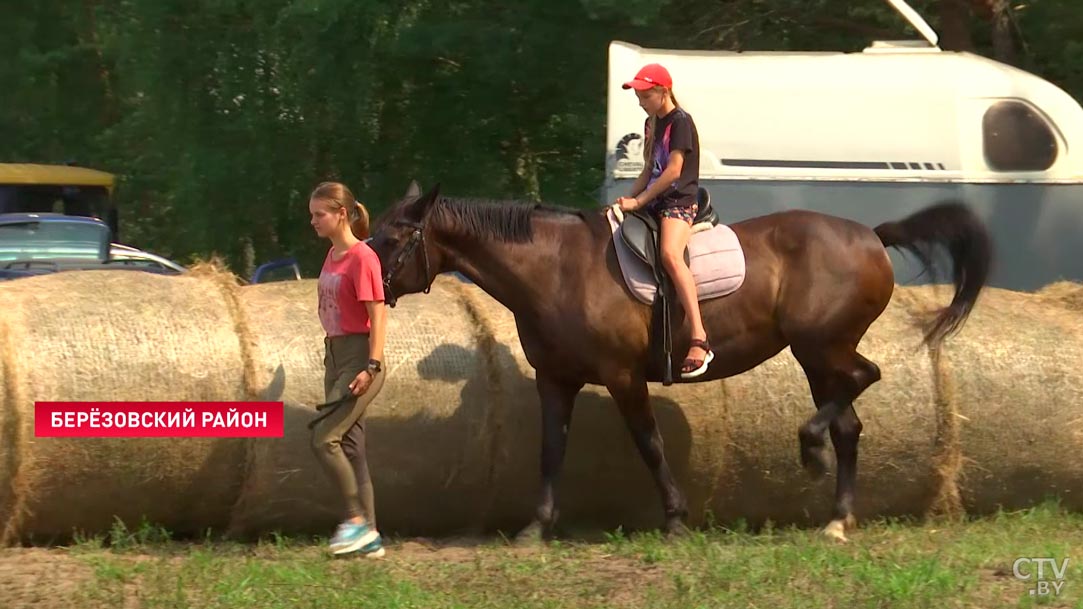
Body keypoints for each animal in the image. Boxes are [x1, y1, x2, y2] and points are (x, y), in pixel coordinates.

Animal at [370, 179, 992, 539]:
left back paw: (810, 450)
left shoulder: (622, 377)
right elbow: (550, 451)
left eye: (395, 239)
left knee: (866, 378)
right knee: (849, 424)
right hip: (817, 359)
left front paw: (674, 517)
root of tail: (870, 235)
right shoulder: (556, 380)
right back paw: (837, 517)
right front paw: (536, 527)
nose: (366, 287)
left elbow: (649, 444)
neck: (556, 269)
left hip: (822, 345)